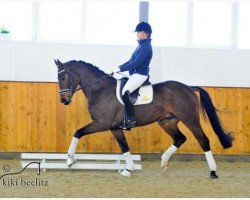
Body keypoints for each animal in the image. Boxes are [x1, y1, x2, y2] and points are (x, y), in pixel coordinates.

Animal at [53, 58, 233, 177]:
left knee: (203, 140)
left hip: (190, 119)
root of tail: (189, 88)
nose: (63, 100)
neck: (99, 89)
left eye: (62, 77)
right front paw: (129, 169)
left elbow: (77, 132)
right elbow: (124, 147)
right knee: (180, 138)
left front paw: (69, 160)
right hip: (167, 122)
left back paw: (213, 171)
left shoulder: (102, 123)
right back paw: (163, 162)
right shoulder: (114, 127)